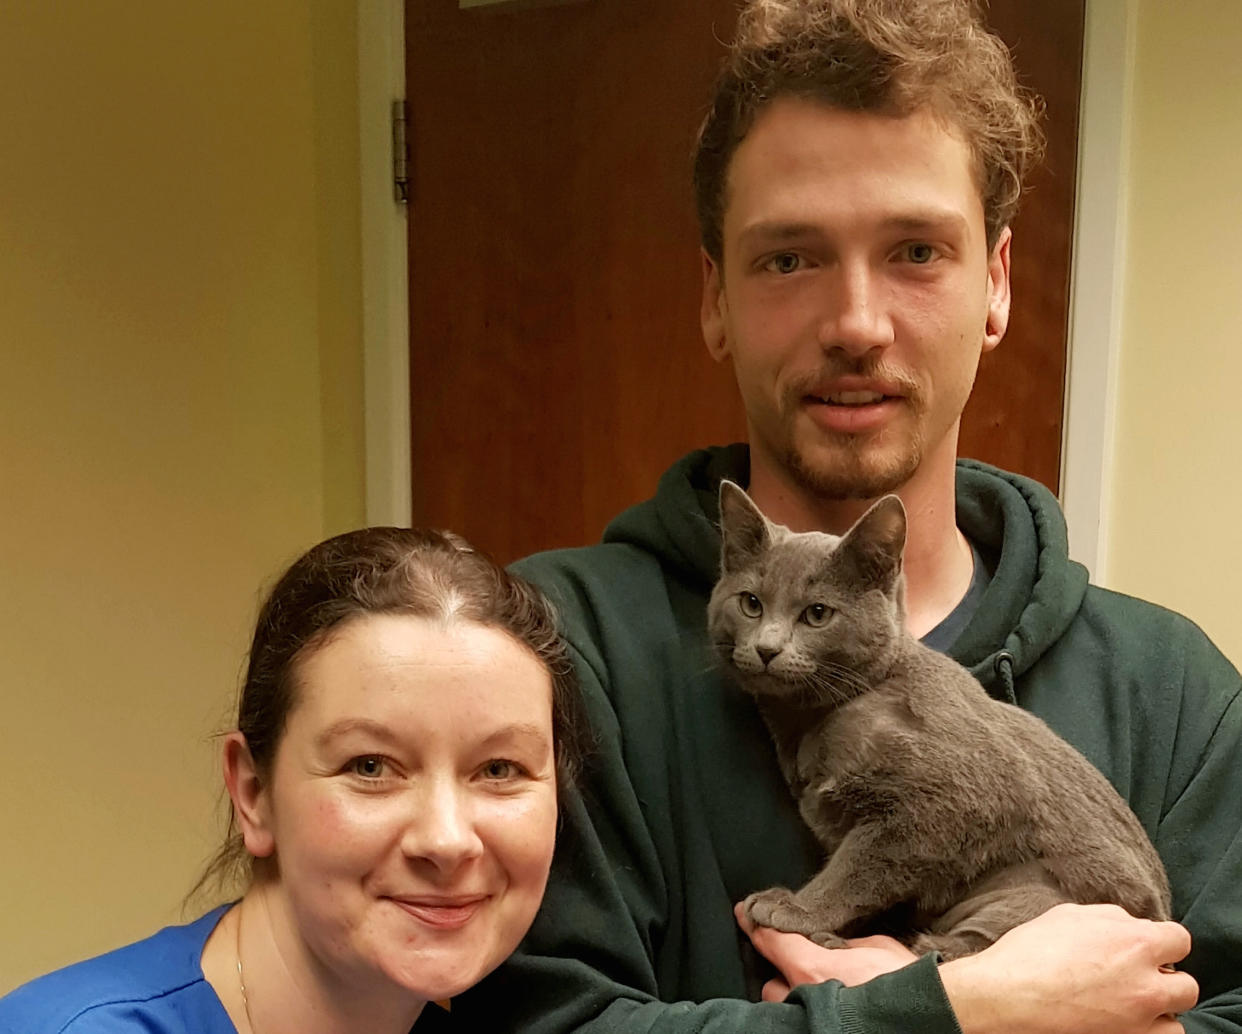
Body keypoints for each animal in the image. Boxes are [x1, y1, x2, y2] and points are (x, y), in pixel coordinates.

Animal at [705, 479, 1167, 958]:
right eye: (751, 603)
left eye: (817, 613)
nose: (766, 648)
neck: (811, 722)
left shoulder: (949, 804)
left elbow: (860, 868)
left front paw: (799, 909)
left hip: (1029, 892)